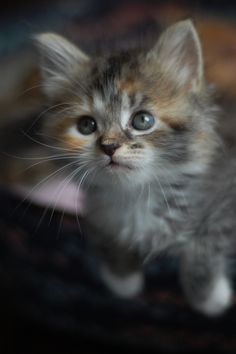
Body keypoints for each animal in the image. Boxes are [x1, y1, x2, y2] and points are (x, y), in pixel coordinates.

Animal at [35, 20, 234, 316]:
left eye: (142, 120)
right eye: (86, 125)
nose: (109, 147)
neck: (136, 196)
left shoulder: (224, 205)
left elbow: (202, 252)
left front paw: (210, 300)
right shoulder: (96, 211)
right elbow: (109, 241)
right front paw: (122, 282)